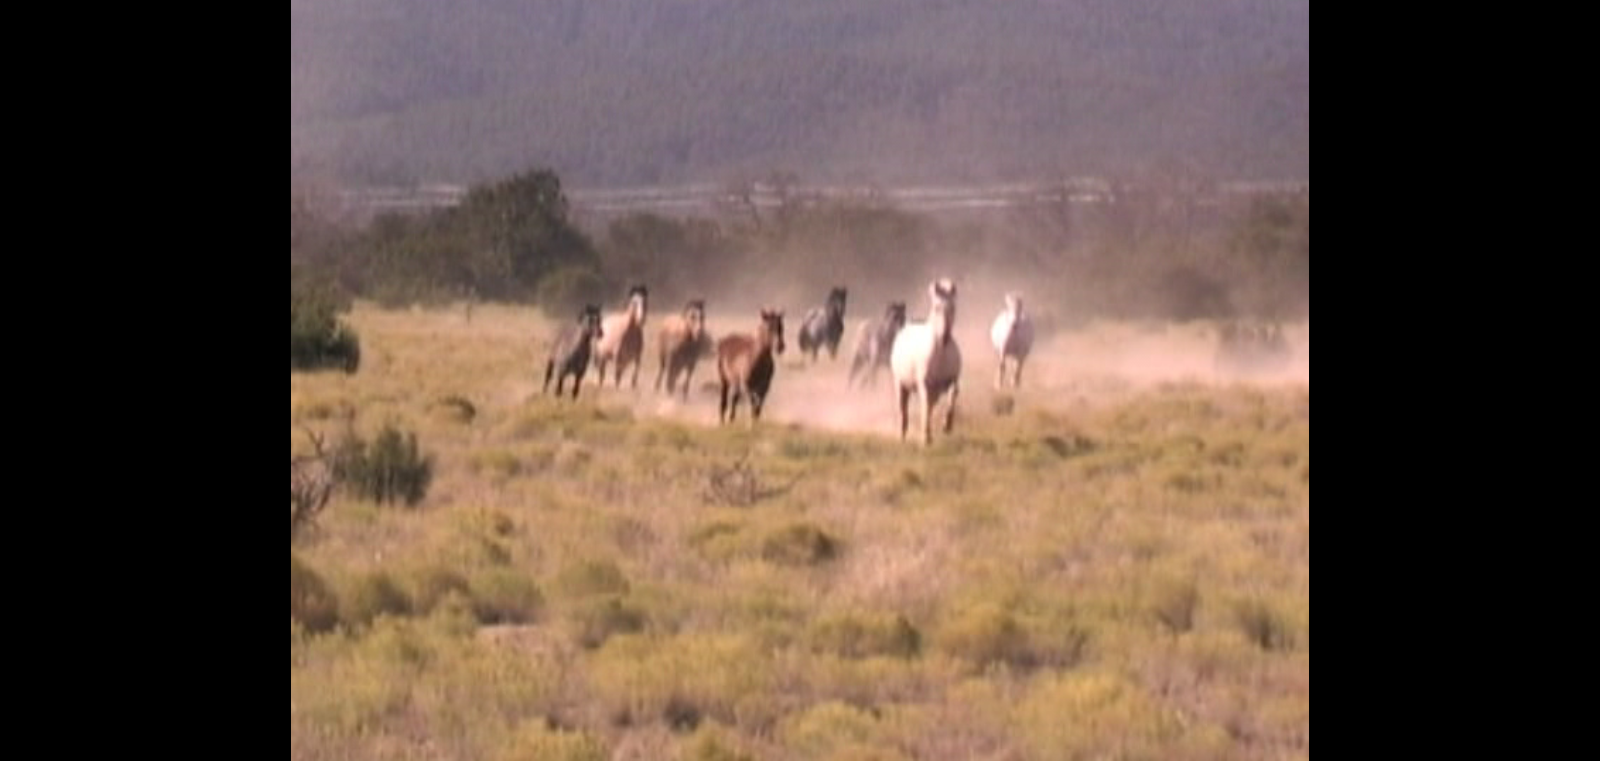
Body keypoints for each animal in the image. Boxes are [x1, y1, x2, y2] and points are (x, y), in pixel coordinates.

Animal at [889, 279, 960, 444]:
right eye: (936, 308)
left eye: (953, 308)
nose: (945, 337)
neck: (941, 352)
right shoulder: (925, 385)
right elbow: (925, 408)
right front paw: (925, 439)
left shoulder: (952, 380)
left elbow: (952, 398)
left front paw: (947, 426)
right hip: (900, 384)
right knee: (903, 410)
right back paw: (902, 436)